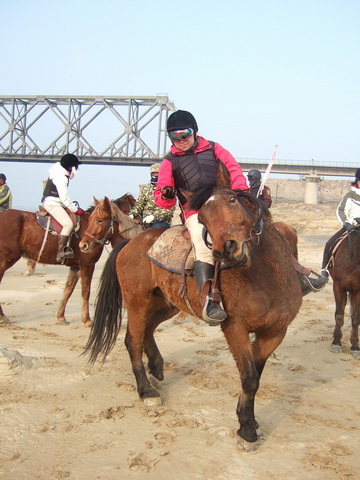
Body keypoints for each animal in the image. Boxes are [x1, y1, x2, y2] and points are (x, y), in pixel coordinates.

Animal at [0, 198, 141, 326]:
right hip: (6, 260)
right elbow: (85, 292)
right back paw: (3, 317)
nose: (83, 245)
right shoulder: (87, 266)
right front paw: (87, 319)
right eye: (96, 219)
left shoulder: (75, 267)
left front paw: (61, 316)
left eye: (100, 220)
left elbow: (68, 290)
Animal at [83, 183, 300, 446]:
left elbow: (255, 376)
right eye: (202, 218)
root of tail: (132, 243)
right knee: (133, 340)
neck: (265, 276)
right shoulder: (235, 328)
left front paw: (248, 419)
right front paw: (246, 429)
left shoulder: (275, 332)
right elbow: (249, 377)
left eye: (233, 201)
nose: (226, 249)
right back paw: (146, 391)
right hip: (138, 302)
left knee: (147, 331)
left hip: (166, 304)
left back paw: (156, 366)